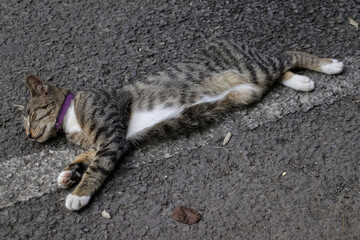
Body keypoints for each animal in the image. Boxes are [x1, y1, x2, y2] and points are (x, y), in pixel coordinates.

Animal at [22, 40, 344, 211]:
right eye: (26, 123)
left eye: (30, 115)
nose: (29, 134)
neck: (71, 117)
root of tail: (231, 42)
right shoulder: (112, 141)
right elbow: (85, 157)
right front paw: (68, 173)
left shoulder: (111, 136)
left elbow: (97, 167)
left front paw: (79, 193)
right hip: (255, 82)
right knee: (281, 71)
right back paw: (300, 81)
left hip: (256, 67)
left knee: (288, 55)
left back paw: (329, 64)